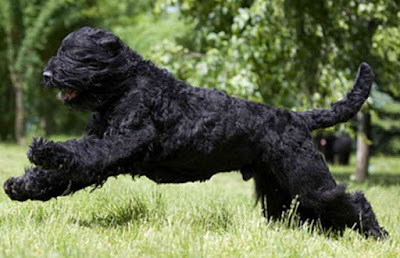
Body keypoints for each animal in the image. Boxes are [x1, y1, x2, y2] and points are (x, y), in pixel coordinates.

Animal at [3, 27, 388, 239]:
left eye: (77, 55)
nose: (47, 76)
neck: (125, 85)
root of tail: (298, 118)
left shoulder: (119, 144)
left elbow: (76, 155)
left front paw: (45, 150)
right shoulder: (102, 148)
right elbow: (62, 173)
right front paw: (21, 186)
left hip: (307, 179)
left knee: (352, 200)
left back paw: (376, 234)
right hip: (280, 186)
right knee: (307, 212)